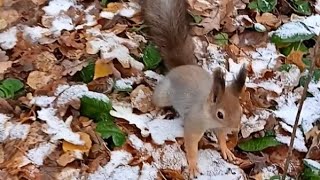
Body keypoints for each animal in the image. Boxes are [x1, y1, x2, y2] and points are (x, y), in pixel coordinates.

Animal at [141, 0, 246, 177]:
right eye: (220, 114)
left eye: (240, 111)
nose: (234, 129)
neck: (209, 116)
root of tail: (181, 67)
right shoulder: (194, 122)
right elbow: (191, 144)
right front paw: (192, 165)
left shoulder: (220, 128)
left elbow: (221, 138)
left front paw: (226, 149)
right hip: (164, 95)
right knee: (157, 100)